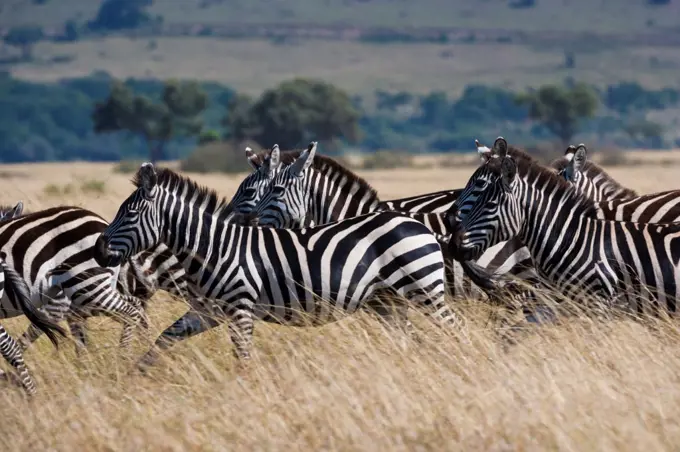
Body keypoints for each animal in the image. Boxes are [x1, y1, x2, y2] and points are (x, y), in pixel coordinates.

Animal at [93, 164, 460, 370]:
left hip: (424, 289)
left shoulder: (240, 308)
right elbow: (164, 339)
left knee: (454, 328)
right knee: (411, 340)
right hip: (389, 302)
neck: (214, 248)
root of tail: (418, 224)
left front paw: (246, 392)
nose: (97, 250)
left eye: (130, 214)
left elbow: (242, 357)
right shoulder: (208, 311)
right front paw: (132, 375)